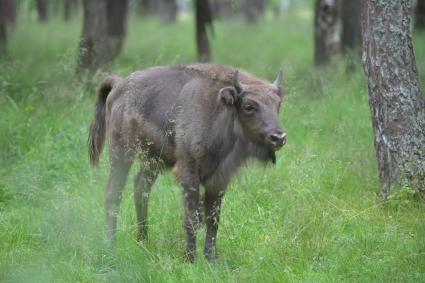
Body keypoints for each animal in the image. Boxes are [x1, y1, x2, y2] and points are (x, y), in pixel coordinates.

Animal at [87, 63, 284, 262]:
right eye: (249, 106)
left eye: (278, 104)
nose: (279, 137)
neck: (219, 110)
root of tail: (119, 85)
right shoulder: (189, 172)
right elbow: (192, 217)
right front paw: (190, 258)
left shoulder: (219, 178)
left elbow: (213, 218)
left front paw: (211, 257)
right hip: (120, 154)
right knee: (114, 193)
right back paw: (111, 244)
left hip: (153, 162)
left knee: (141, 188)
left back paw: (143, 241)